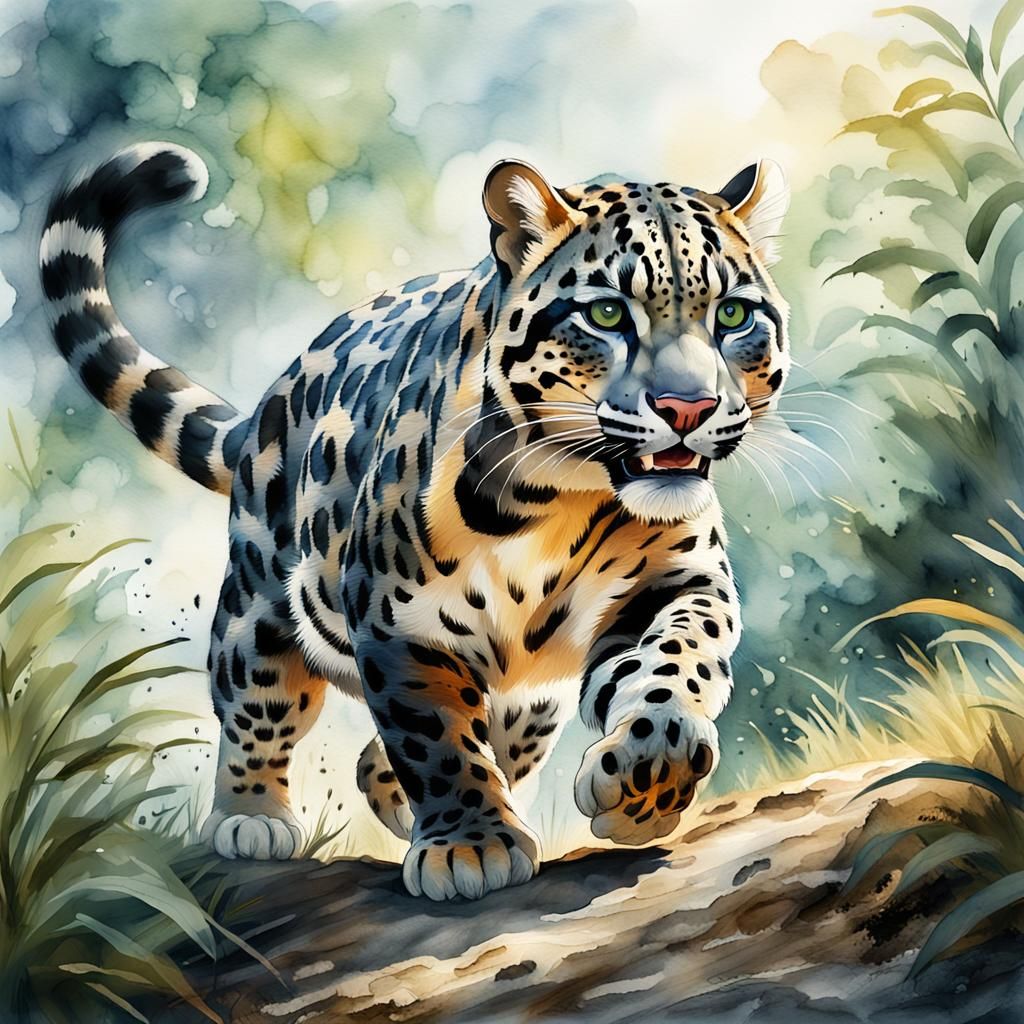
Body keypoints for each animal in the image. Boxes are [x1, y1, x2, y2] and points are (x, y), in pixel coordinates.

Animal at [40, 142, 790, 900]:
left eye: (732, 315)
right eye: (607, 314)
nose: (688, 407)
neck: (564, 496)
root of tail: (267, 408)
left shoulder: (676, 583)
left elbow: (673, 668)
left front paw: (646, 781)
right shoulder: (400, 621)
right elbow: (434, 737)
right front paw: (470, 845)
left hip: (529, 699)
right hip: (257, 612)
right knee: (255, 706)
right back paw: (253, 817)